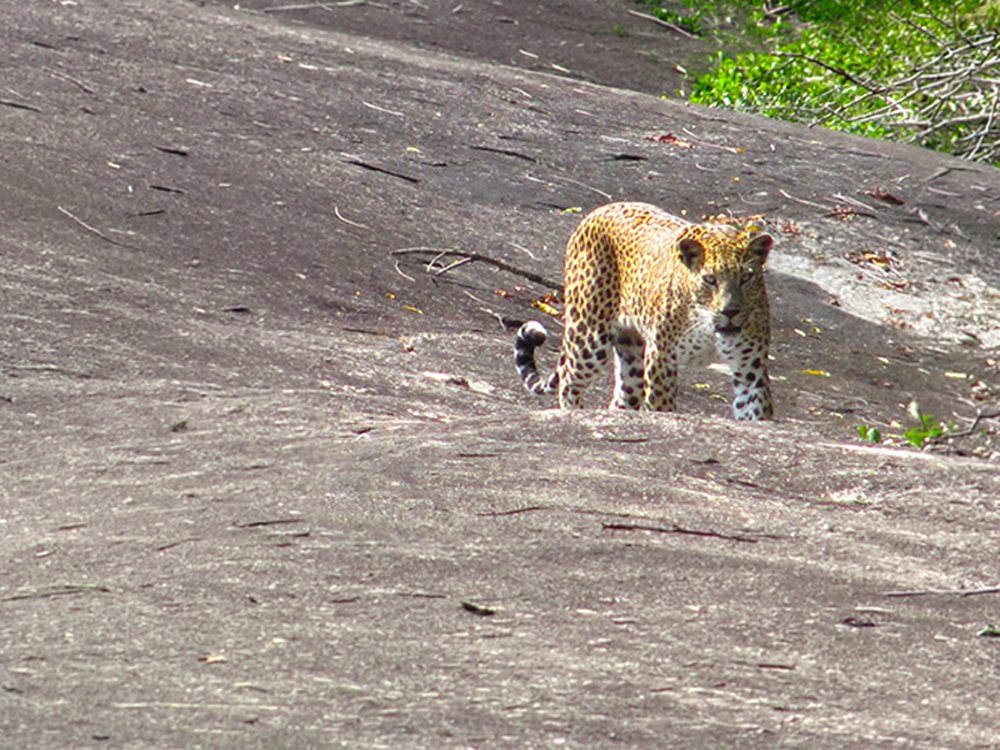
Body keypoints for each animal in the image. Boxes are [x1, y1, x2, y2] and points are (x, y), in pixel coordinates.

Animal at [514, 201, 774, 420]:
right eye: (710, 280)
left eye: (746, 278)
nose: (730, 311)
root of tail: (597, 211)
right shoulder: (661, 359)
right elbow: (662, 407)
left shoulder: (750, 370)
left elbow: (755, 411)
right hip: (588, 338)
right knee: (569, 380)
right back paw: (574, 413)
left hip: (630, 353)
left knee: (623, 397)